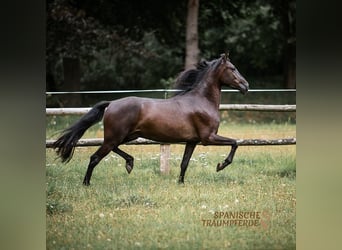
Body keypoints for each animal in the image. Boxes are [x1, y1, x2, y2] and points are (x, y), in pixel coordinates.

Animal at [54, 53, 251, 186]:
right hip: (115, 137)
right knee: (95, 157)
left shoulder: (192, 141)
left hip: (126, 136)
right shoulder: (208, 138)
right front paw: (221, 165)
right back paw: (87, 183)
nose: (246, 86)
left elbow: (184, 163)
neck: (202, 100)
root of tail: (111, 103)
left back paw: (129, 163)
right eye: (232, 68)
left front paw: (180, 183)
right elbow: (235, 143)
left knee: (113, 149)